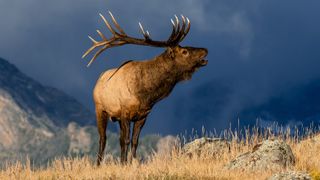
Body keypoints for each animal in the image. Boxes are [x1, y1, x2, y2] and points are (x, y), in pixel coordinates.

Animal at [82, 11, 208, 166]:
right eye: (185, 51)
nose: (205, 50)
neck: (146, 95)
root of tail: (98, 79)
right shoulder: (125, 112)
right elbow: (126, 140)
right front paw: (124, 164)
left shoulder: (143, 115)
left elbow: (134, 141)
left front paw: (131, 162)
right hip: (100, 109)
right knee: (103, 138)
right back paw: (98, 164)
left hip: (116, 116)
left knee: (118, 139)